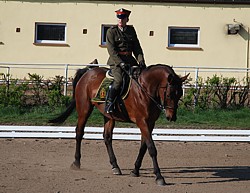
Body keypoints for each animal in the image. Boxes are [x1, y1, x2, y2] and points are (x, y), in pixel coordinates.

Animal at [49, 64, 188, 185]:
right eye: (169, 94)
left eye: (180, 94)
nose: (171, 117)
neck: (145, 88)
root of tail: (88, 72)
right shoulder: (142, 121)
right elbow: (151, 148)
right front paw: (159, 177)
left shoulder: (150, 123)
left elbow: (143, 147)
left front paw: (135, 170)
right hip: (84, 109)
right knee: (79, 132)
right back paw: (76, 162)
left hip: (108, 116)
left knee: (107, 137)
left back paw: (115, 166)